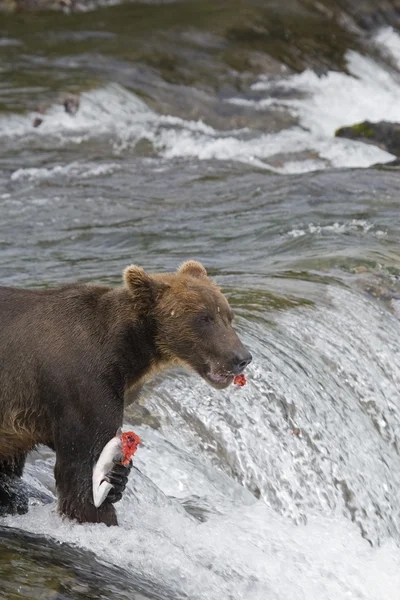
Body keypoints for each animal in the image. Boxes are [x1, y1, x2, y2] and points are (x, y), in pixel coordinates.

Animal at [0, 262, 250, 524]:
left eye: (228, 316)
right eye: (203, 318)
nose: (241, 358)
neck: (127, 352)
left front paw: (119, 479)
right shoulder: (82, 385)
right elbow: (82, 467)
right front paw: (98, 514)